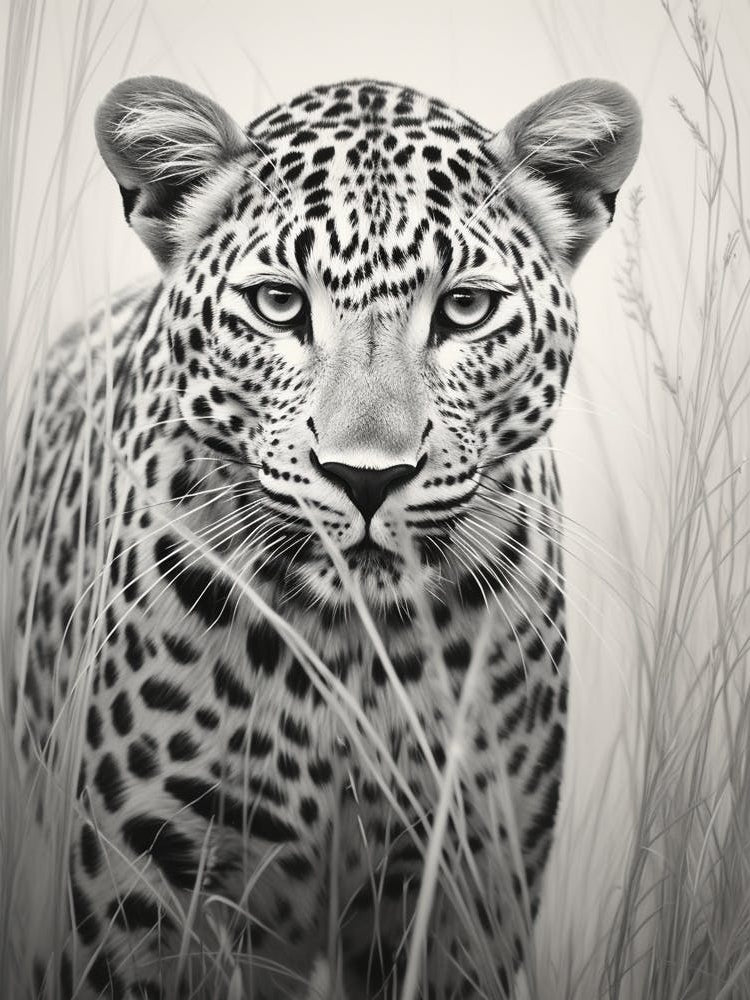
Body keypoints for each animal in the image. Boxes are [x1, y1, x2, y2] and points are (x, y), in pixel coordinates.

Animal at [8, 74, 640, 1000]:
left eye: (465, 308)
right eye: (278, 304)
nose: (366, 478)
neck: (351, 657)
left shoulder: (467, 892)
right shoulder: (145, 898)